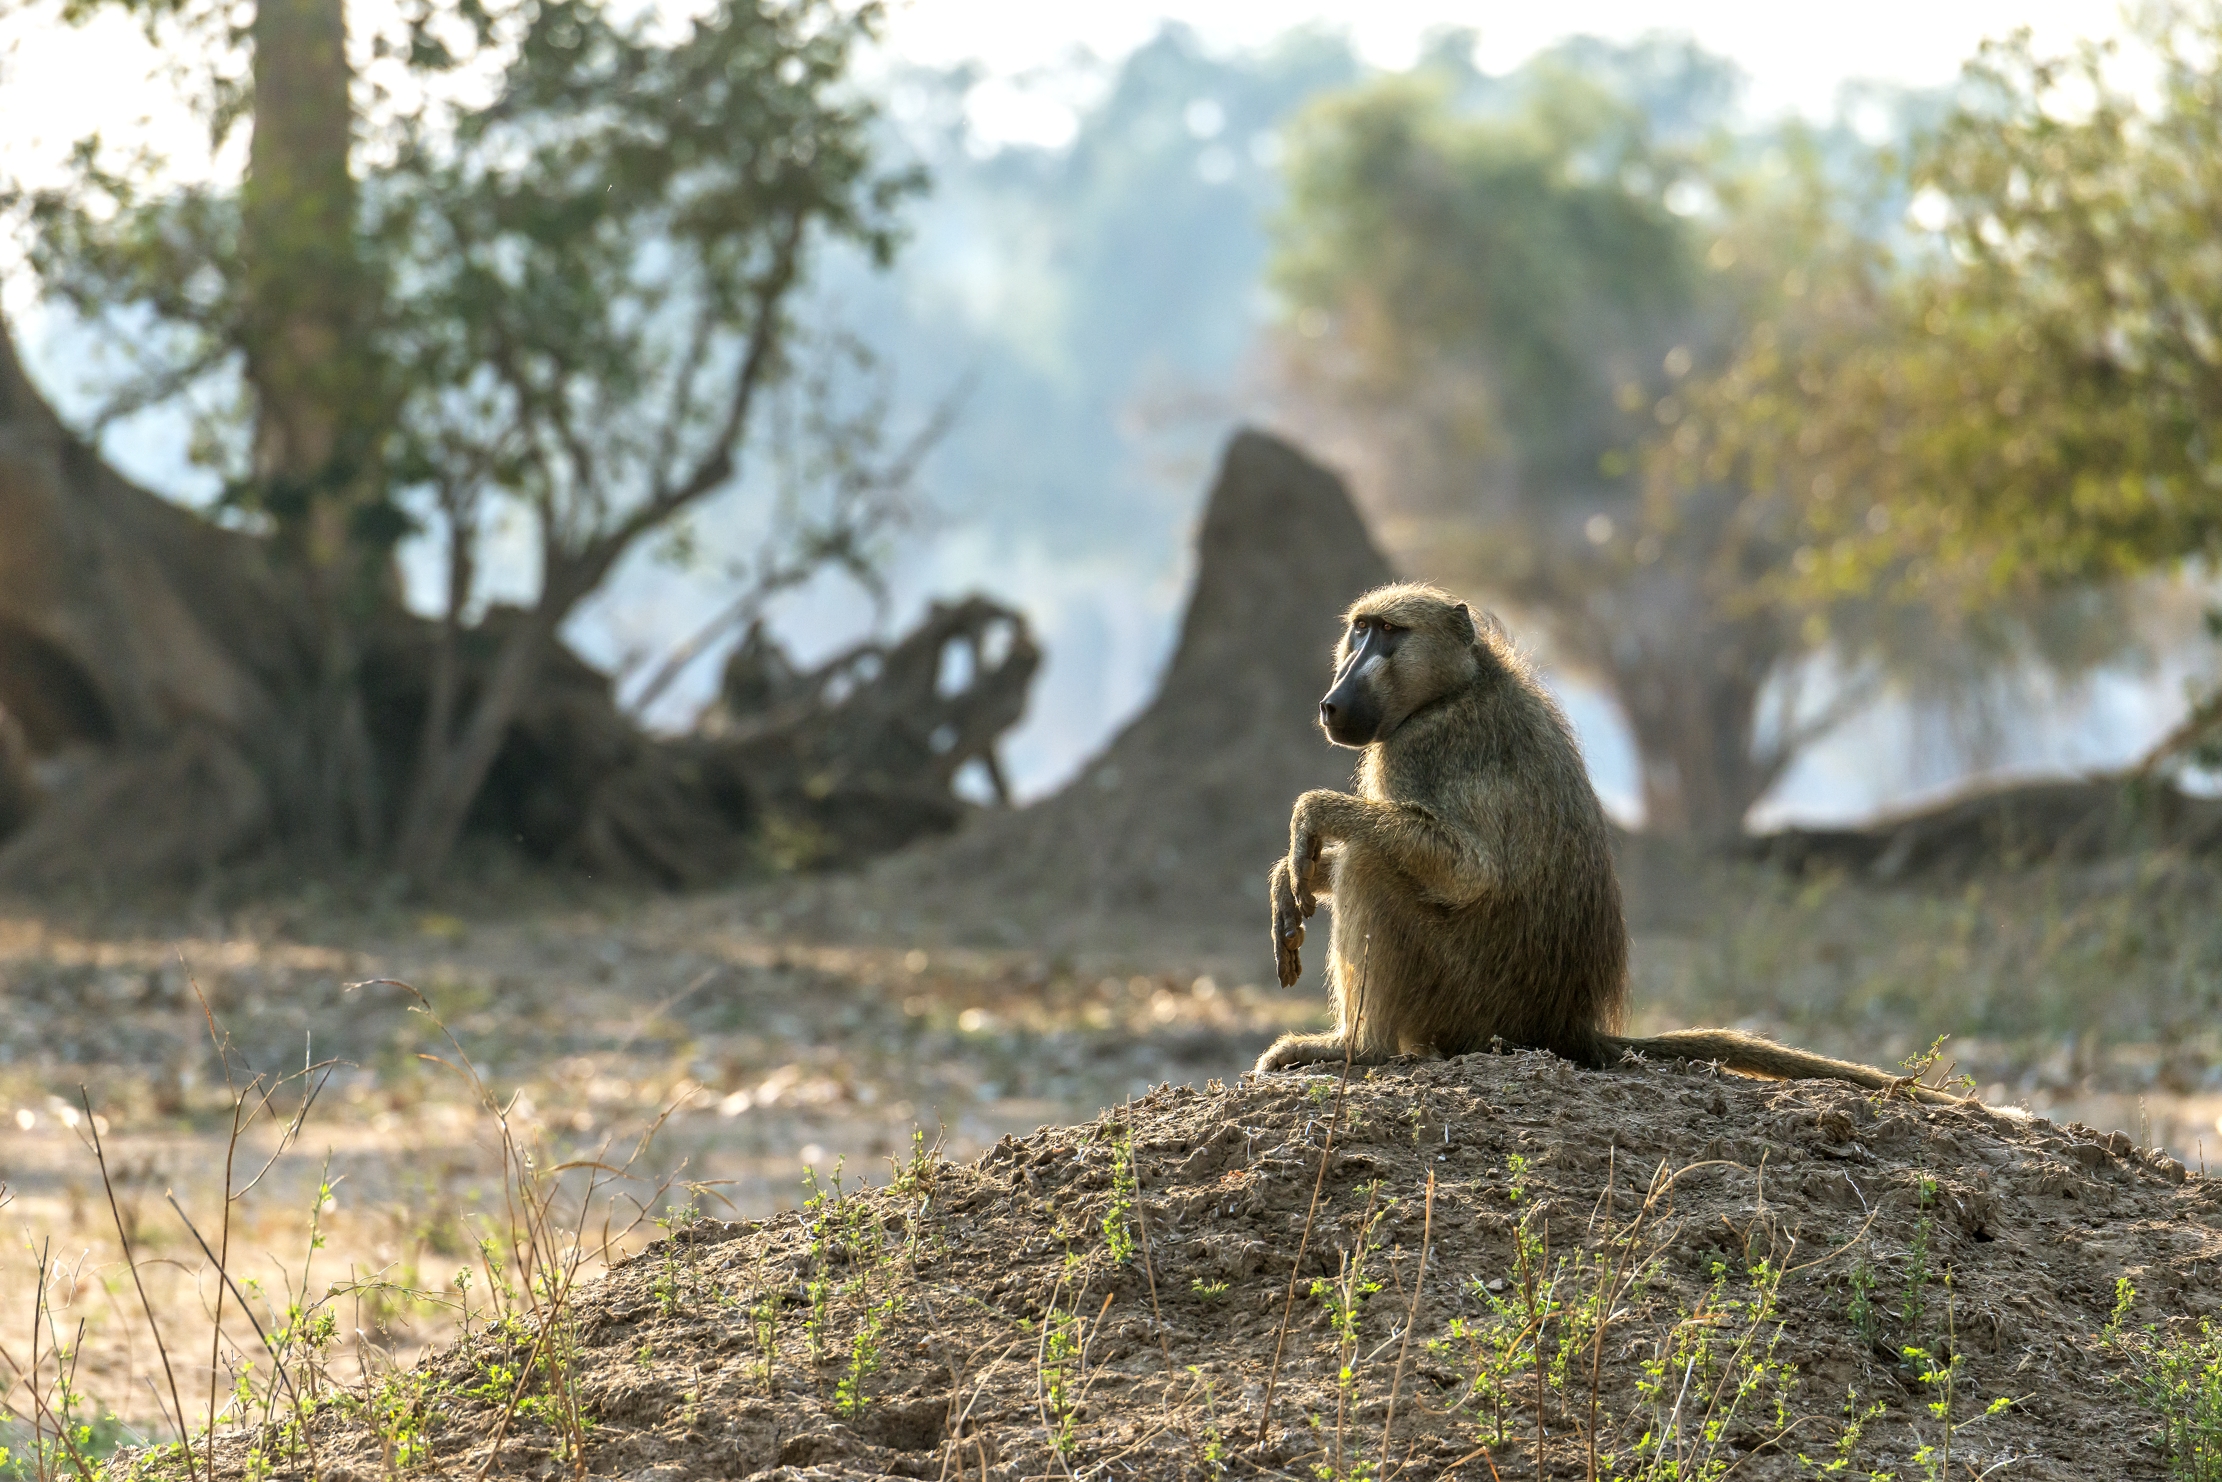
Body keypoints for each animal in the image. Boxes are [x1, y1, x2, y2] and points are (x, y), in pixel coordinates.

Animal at [1255, 582, 1965, 1105]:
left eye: (1390, 635)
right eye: (1358, 631)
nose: (1333, 703)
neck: (1460, 683)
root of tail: (1564, 1026)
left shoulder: (1418, 748)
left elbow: (1466, 872)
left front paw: (1309, 819)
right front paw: (1290, 879)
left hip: (1472, 1004)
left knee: (1372, 867)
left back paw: (1355, 1050)